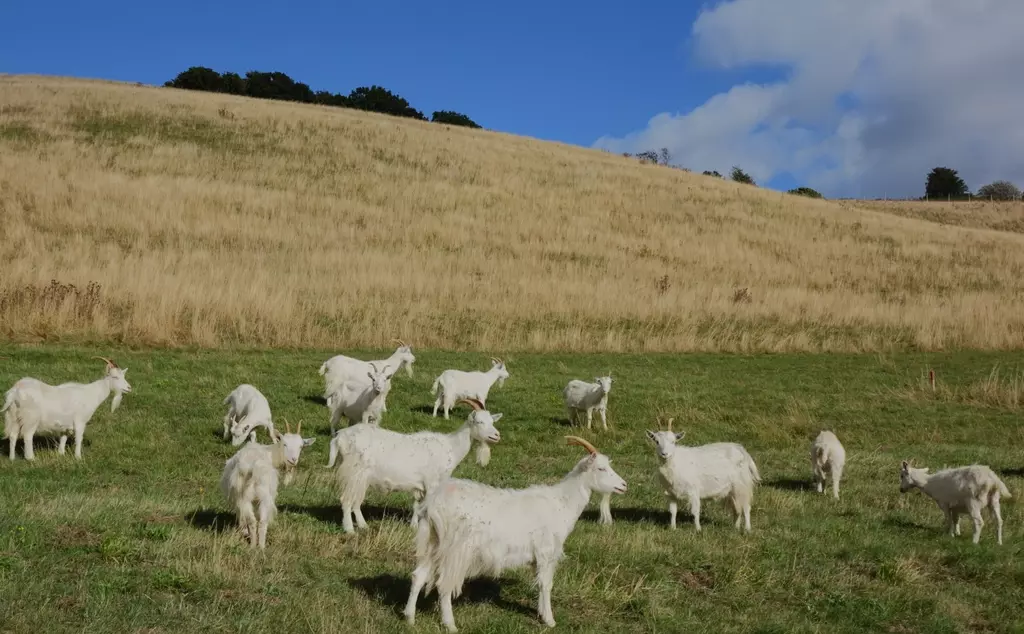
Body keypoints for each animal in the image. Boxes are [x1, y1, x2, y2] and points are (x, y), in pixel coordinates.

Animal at [3, 356, 133, 460]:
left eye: (123, 376)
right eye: (115, 377)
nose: (129, 388)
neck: (91, 393)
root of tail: (15, 391)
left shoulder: (65, 424)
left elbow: (63, 438)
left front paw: (61, 454)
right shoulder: (80, 421)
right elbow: (79, 438)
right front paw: (78, 457)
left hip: (14, 416)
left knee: (13, 435)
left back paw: (12, 458)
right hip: (31, 418)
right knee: (28, 436)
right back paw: (31, 458)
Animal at [222, 419, 317, 548]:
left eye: (301, 446)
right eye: (284, 444)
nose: (293, 460)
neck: (269, 453)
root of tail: (253, 467)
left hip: (247, 497)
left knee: (254, 521)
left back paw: (255, 546)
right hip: (263, 497)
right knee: (260, 521)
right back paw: (260, 547)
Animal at [327, 399, 503, 532]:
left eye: (492, 421)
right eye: (479, 422)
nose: (496, 435)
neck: (451, 447)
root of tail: (339, 438)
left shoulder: (421, 486)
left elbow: (417, 505)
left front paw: (414, 526)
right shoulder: (432, 483)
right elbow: (427, 507)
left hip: (362, 477)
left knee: (356, 501)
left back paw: (364, 526)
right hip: (353, 472)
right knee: (346, 499)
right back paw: (349, 530)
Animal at [403, 436, 626, 634]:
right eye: (601, 468)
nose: (624, 485)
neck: (561, 503)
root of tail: (431, 506)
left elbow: (539, 584)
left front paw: (541, 613)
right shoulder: (546, 552)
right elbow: (546, 585)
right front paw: (550, 620)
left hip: (432, 543)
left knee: (418, 575)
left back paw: (409, 618)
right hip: (455, 550)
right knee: (444, 584)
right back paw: (450, 625)